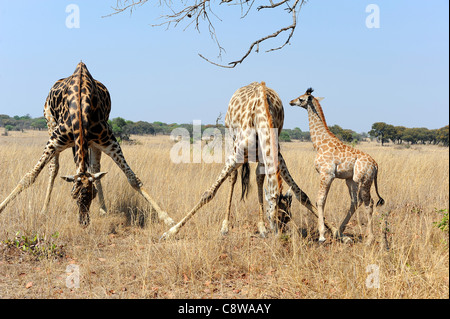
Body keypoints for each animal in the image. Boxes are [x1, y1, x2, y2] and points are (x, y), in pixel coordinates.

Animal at [0, 62, 174, 228]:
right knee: (54, 168)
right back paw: (44, 209)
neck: (80, 111)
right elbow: (29, 176)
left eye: (93, 194)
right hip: (50, 124)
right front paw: (2, 207)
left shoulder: (110, 142)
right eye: (73, 194)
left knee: (95, 167)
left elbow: (133, 178)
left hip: (94, 143)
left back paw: (103, 209)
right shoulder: (54, 141)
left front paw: (168, 220)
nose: (84, 222)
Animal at [290, 88, 384, 245]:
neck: (319, 143)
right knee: (355, 201)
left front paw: (321, 235)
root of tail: (376, 165)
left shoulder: (327, 174)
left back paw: (369, 239)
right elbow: (321, 200)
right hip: (351, 180)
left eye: (301, 99)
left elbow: (320, 200)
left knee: (368, 202)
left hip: (365, 180)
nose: (291, 101)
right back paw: (340, 231)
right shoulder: (331, 176)